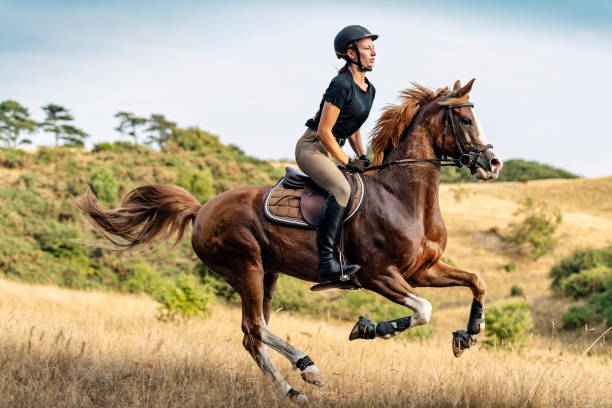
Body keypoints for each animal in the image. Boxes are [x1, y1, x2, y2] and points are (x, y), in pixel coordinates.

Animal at [77, 79, 502, 402]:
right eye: (466, 119)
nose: (493, 164)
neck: (402, 195)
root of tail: (202, 209)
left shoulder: (422, 270)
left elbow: (477, 282)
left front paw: (468, 334)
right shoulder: (378, 275)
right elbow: (424, 310)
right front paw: (366, 328)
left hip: (267, 274)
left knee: (252, 336)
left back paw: (290, 391)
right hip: (245, 267)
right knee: (254, 328)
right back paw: (307, 368)